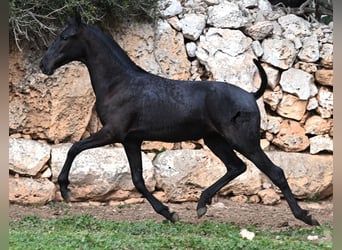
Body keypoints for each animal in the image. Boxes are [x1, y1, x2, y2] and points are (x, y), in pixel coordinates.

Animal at [40, 15, 318, 227]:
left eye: (64, 37)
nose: (44, 65)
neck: (118, 83)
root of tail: (250, 95)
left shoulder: (113, 133)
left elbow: (74, 148)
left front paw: (65, 189)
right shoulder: (131, 140)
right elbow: (138, 179)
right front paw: (168, 213)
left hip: (243, 141)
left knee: (274, 172)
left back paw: (305, 217)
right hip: (216, 140)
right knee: (236, 167)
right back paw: (201, 205)